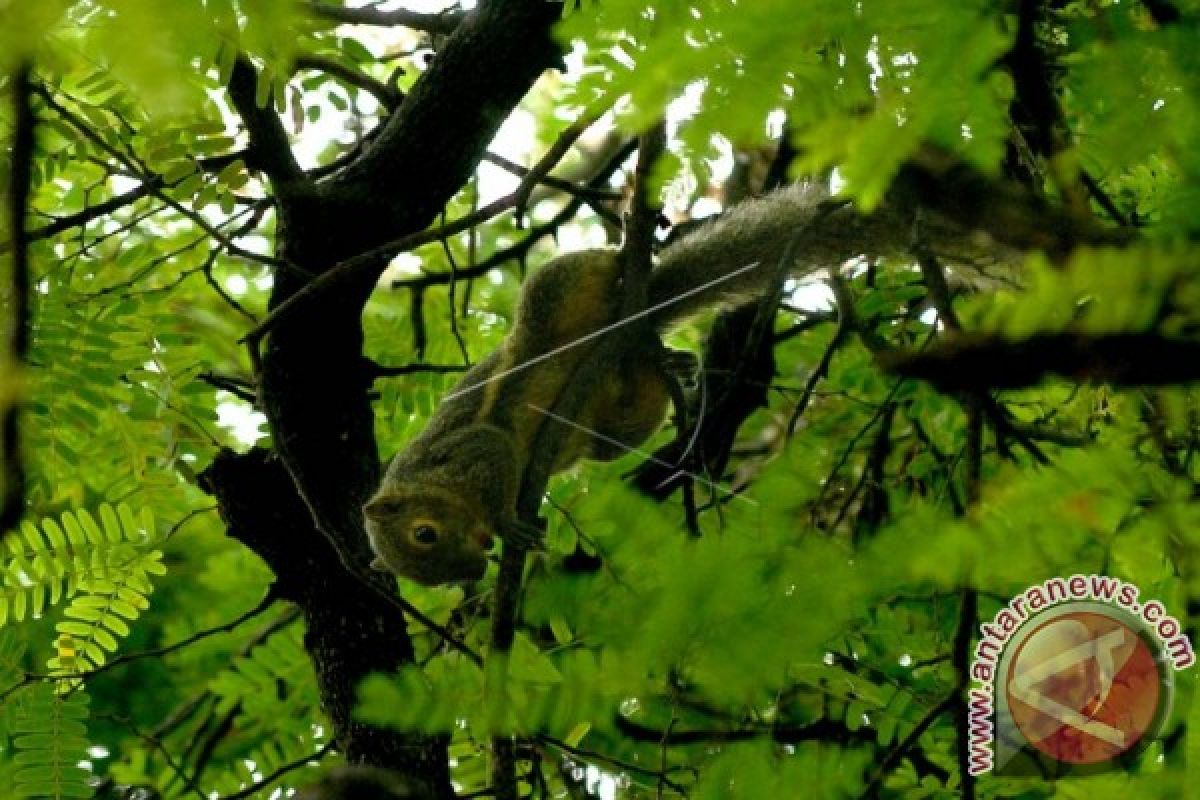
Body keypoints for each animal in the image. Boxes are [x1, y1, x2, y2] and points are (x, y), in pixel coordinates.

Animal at [362, 181, 1003, 585]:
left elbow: (492, 446)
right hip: (608, 426)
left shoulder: (464, 450)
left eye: (423, 534)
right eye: (431, 576)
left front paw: (509, 525)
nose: (473, 571)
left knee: (576, 279)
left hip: (553, 300)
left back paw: (628, 251)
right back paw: (673, 365)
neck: (426, 481)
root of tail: (630, 322)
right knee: (631, 400)